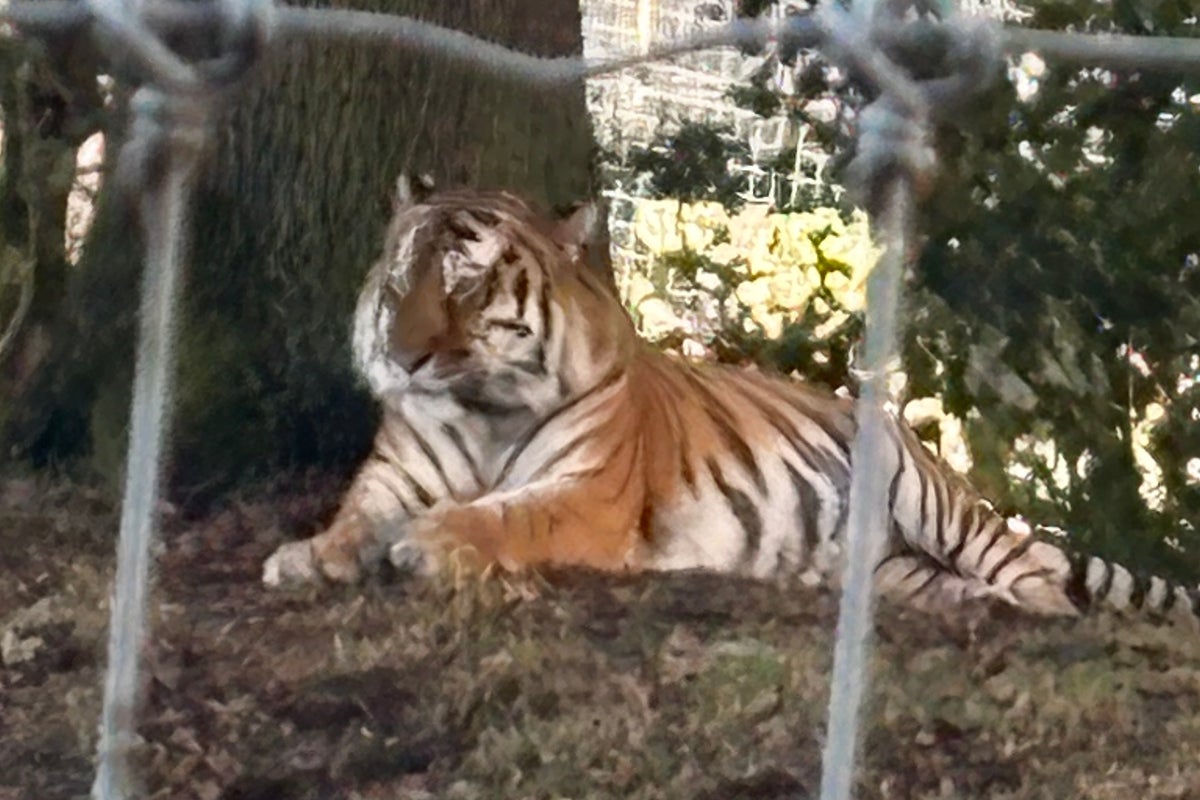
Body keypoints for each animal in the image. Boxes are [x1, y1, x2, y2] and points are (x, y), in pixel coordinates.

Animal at [262, 179, 1200, 626]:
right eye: (400, 277)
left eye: (466, 278)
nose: (402, 354)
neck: (479, 406)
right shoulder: (394, 476)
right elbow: (353, 517)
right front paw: (307, 557)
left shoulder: (588, 494)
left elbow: (503, 516)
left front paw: (427, 544)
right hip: (887, 560)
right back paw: (961, 604)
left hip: (935, 500)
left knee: (1035, 565)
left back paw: (1028, 611)